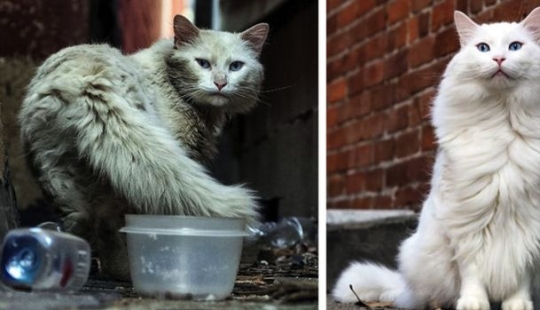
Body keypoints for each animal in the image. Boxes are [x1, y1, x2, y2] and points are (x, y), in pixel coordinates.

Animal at [20, 15, 268, 280]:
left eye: (236, 66)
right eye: (202, 63)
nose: (220, 83)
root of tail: (87, 81)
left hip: (60, 177)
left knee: (84, 224)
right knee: (115, 223)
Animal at [334, 6, 540, 310]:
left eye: (515, 47)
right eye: (483, 48)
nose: (499, 59)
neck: (503, 119)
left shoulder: (528, 222)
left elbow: (521, 271)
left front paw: (518, 303)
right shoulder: (467, 218)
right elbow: (473, 270)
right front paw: (473, 303)